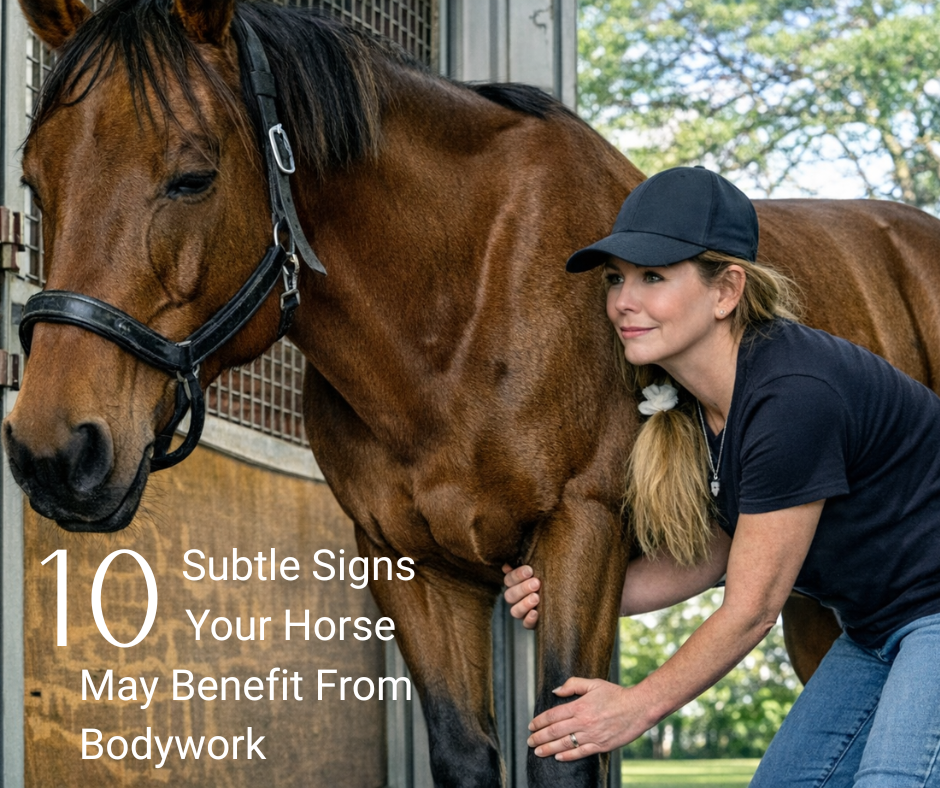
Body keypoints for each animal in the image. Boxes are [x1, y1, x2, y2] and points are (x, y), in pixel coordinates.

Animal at [6, 0, 940, 785]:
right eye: (36, 180)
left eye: (193, 176)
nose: (54, 451)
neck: (461, 313)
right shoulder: (413, 564)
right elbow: (466, 753)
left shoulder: (581, 532)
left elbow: (564, 752)